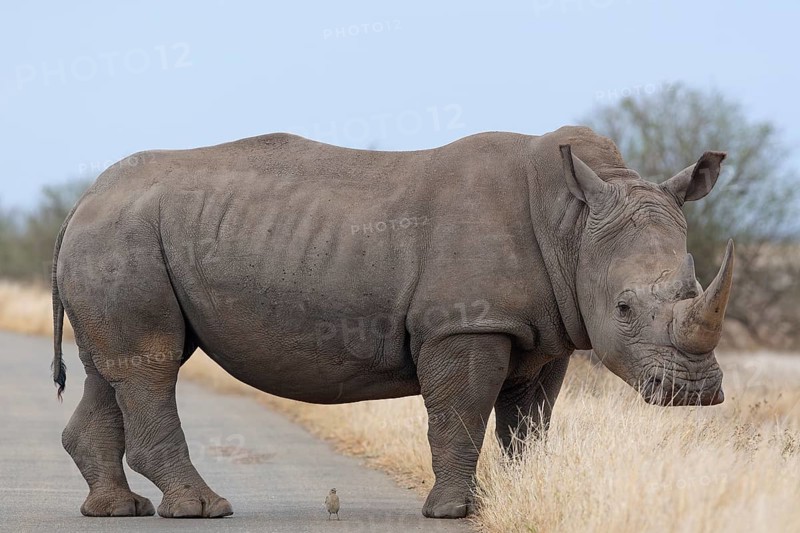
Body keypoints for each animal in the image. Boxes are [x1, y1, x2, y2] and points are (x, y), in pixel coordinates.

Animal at [52, 126, 733, 519]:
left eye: (694, 286)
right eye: (624, 308)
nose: (694, 395)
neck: (573, 225)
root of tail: (83, 200)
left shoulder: (543, 333)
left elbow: (528, 426)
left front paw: (523, 493)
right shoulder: (467, 325)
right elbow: (460, 416)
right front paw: (454, 511)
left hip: (121, 238)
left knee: (112, 369)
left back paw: (118, 510)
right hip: (124, 236)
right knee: (152, 361)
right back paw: (203, 509)